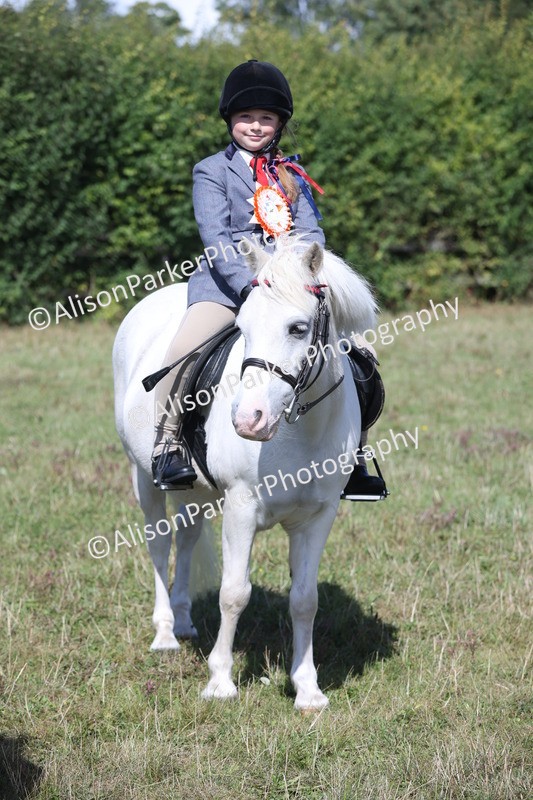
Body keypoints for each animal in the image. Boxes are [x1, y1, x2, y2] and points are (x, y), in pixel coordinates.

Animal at [112, 237, 377, 710]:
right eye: (244, 327)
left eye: (298, 328)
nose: (248, 420)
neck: (300, 429)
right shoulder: (240, 508)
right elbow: (234, 594)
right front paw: (220, 682)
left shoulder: (318, 516)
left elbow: (304, 600)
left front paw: (307, 689)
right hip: (142, 475)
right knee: (160, 544)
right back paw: (165, 634)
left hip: (195, 491)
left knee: (187, 538)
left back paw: (183, 622)